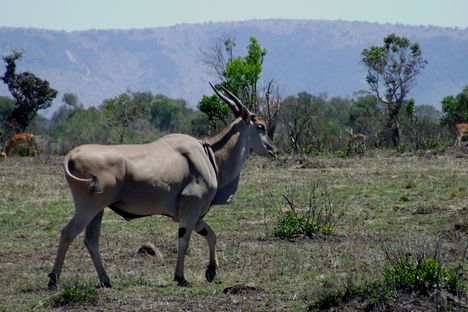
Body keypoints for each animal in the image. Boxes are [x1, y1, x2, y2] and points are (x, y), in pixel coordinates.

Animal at [48, 82, 278, 288]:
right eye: (261, 127)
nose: (274, 150)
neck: (209, 154)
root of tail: (71, 155)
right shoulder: (190, 212)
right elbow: (184, 241)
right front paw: (181, 278)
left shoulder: (195, 216)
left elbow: (211, 234)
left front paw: (211, 271)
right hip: (88, 208)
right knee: (68, 233)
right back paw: (53, 279)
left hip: (98, 210)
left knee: (91, 240)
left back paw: (106, 280)